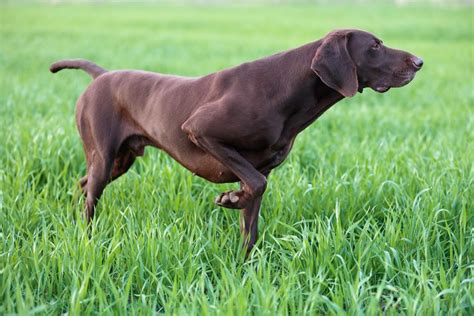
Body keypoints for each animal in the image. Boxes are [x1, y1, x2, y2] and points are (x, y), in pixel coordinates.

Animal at [51, 29, 422, 254]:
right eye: (374, 46)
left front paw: (245, 266)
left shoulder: (259, 169)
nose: (419, 62)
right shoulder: (200, 130)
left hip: (118, 160)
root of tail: (101, 76)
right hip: (105, 157)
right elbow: (255, 185)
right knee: (91, 195)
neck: (287, 90)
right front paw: (229, 198)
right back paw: (85, 238)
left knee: (83, 183)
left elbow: (252, 215)